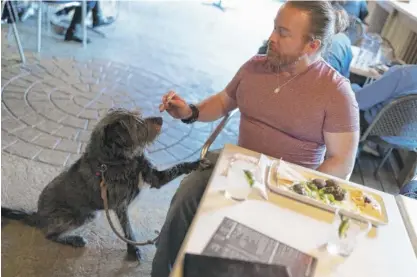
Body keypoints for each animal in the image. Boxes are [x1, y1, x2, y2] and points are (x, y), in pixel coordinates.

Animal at [1, 107, 206, 258]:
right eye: (137, 124)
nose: (160, 119)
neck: (119, 160)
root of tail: (36, 215)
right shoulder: (120, 205)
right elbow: (127, 230)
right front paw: (133, 250)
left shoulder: (154, 177)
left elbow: (178, 167)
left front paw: (196, 163)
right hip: (80, 216)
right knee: (49, 234)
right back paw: (73, 239)